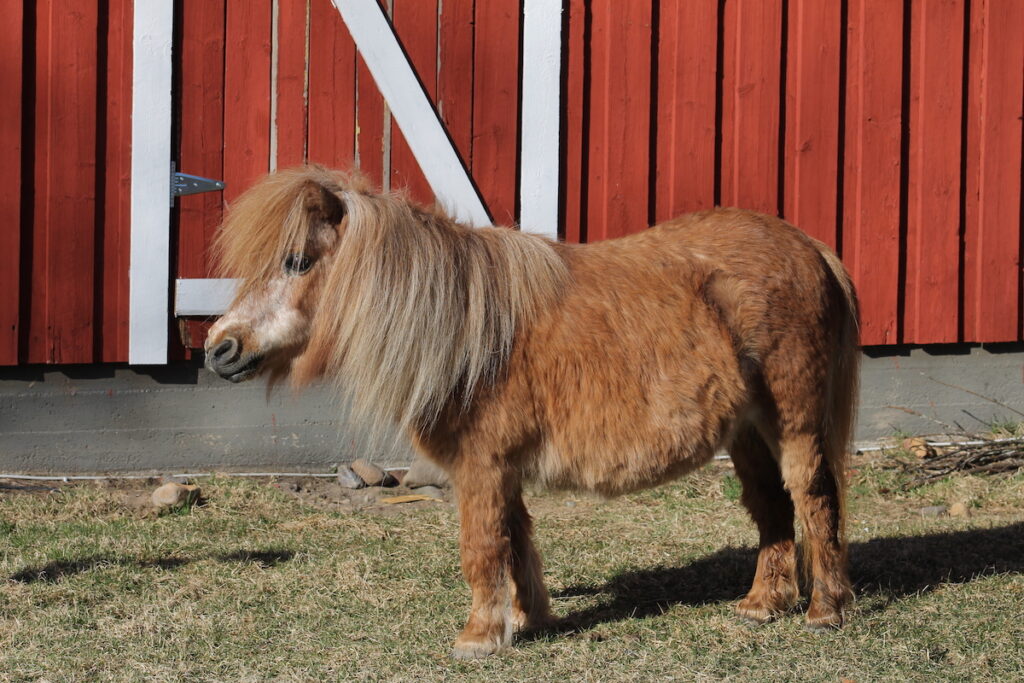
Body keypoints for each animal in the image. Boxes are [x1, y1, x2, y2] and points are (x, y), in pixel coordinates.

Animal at [203, 163, 860, 655]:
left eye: (296, 262)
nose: (219, 349)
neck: (466, 331)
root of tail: (809, 246)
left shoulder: (482, 467)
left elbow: (484, 545)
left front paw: (478, 637)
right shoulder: (504, 469)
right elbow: (516, 539)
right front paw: (528, 619)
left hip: (794, 420)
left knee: (813, 496)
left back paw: (825, 610)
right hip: (746, 431)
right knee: (771, 506)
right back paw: (763, 605)